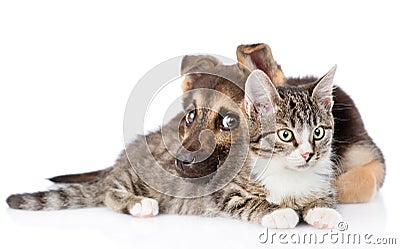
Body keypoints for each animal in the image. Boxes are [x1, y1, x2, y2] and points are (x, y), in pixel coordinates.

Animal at [7, 43, 384, 230]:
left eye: (231, 121)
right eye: (190, 116)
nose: (180, 163)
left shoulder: (371, 163)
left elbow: (344, 187)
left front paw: (321, 204)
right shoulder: (228, 194)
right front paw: (285, 209)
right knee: (111, 192)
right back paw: (141, 203)